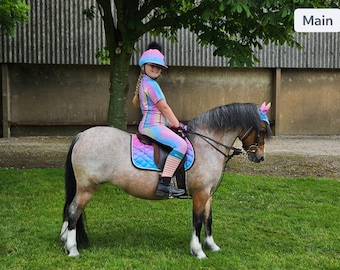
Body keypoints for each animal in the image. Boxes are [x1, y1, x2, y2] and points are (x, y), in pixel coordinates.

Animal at [58, 102, 270, 260]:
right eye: (261, 130)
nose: (260, 157)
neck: (206, 144)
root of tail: (82, 135)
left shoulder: (208, 193)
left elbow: (208, 219)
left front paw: (211, 245)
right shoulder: (200, 194)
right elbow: (197, 221)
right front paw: (198, 251)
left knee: (70, 210)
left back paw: (65, 242)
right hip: (87, 187)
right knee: (74, 211)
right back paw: (73, 249)